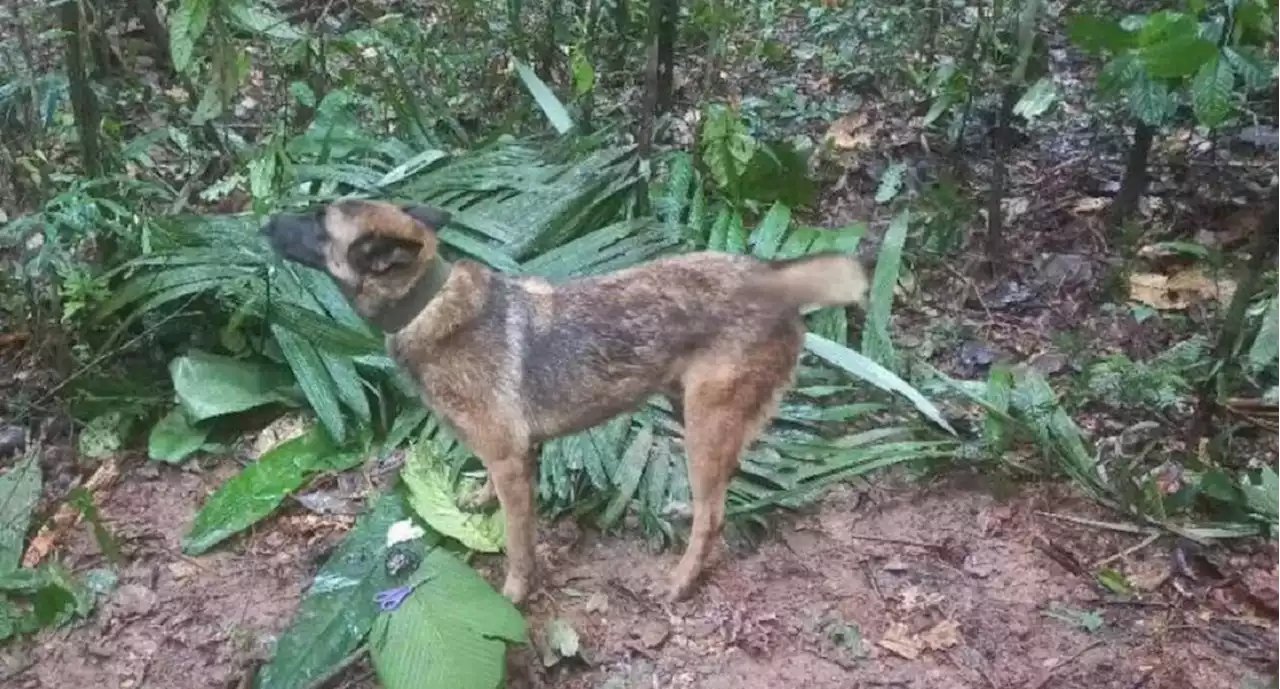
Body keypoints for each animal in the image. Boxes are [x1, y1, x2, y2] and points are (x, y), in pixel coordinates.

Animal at [266, 197, 875, 599]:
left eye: (318, 222)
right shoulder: (513, 455)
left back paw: (681, 579)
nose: (265, 220)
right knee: (722, 486)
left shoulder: (511, 459)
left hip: (706, 420)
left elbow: (518, 543)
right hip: (693, 411)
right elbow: (492, 495)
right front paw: (479, 501)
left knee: (715, 513)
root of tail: (771, 277)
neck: (427, 303)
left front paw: (514, 594)